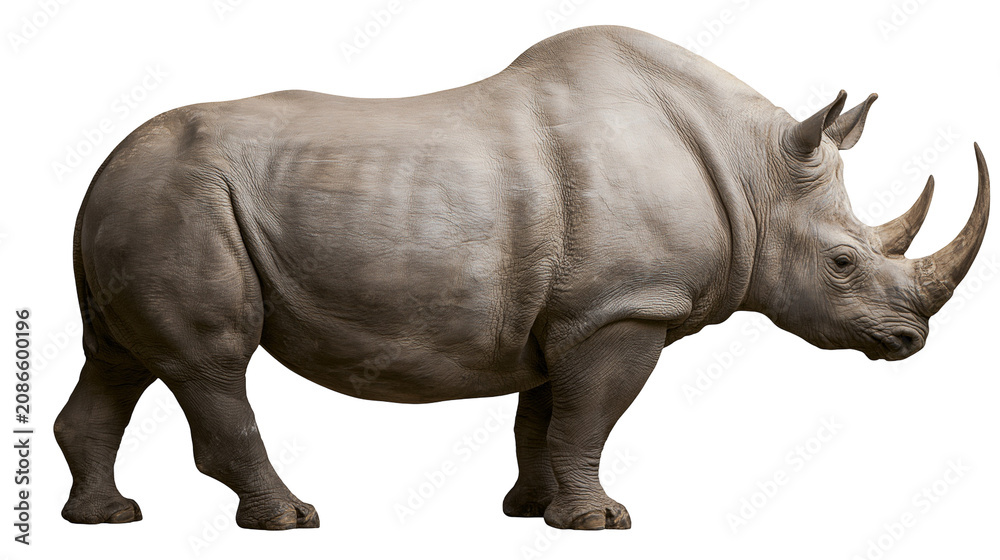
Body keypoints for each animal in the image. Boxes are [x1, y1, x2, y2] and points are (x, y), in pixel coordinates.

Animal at [56, 25, 989, 531]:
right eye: (843, 262)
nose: (909, 339)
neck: (751, 172)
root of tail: (100, 168)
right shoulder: (624, 308)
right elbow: (589, 418)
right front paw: (601, 522)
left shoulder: (577, 311)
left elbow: (545, 417)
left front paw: (531, 512)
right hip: (178, 197)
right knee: (213, 359)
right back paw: (291, 519)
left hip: (147, 198)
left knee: (119, 359)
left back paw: (107, 519)